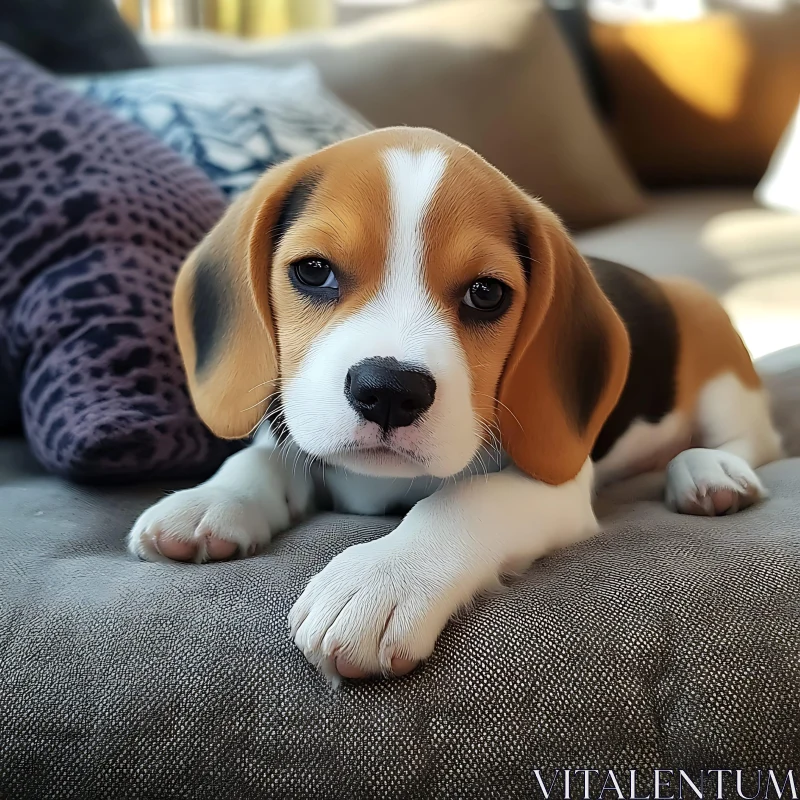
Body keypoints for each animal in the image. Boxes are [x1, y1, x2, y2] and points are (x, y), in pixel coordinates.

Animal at [130, 126, 780, 680]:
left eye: (486, 294)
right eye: (313, 271)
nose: (389, 391)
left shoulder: (555, 488)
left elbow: (463, 501)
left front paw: (379, 581)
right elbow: (263, 456)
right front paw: (211, 500)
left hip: (721, 368)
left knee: (755, 444)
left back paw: (709, 471)